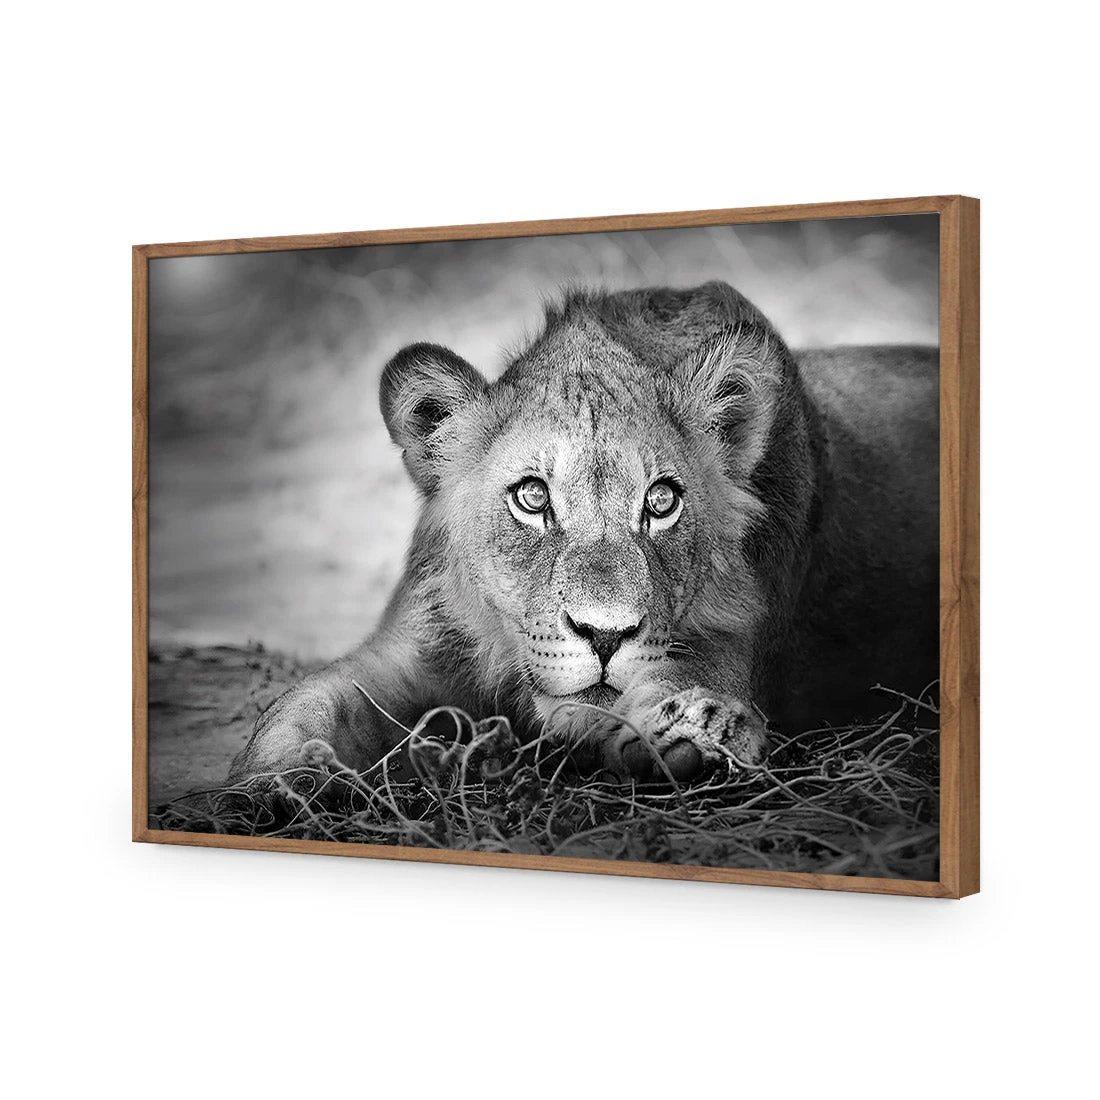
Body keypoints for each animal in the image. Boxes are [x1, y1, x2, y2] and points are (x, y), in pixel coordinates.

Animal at [229, 281, 938, 784]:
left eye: (661, 502)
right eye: (532, 497)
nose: (605, 635)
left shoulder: (735, 644)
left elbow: (671, 688)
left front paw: (694, 732)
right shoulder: (413, 648)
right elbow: (302, 705)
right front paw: (271, 784)